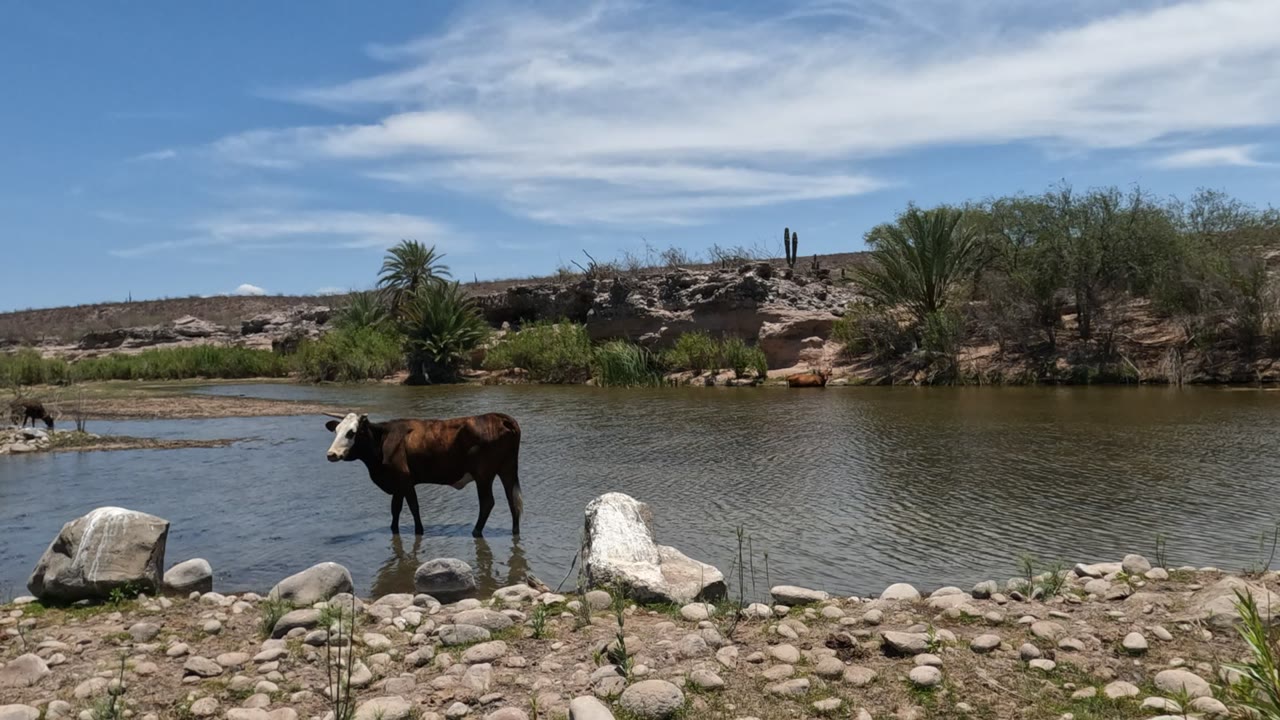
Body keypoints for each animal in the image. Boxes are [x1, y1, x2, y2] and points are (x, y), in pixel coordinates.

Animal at [323, 411, 523, 538]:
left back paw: (476, 532)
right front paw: (394, 529)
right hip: (507, 469)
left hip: (483, 475)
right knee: (513, 500)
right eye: (336, 430)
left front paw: (419, 530)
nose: (331, 454)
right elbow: (395, 509)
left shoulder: (405, 479)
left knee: (488, 502)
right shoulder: (397, 485)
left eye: (351, 433)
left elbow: (414, 507)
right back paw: (515, 531)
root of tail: (498, 417)